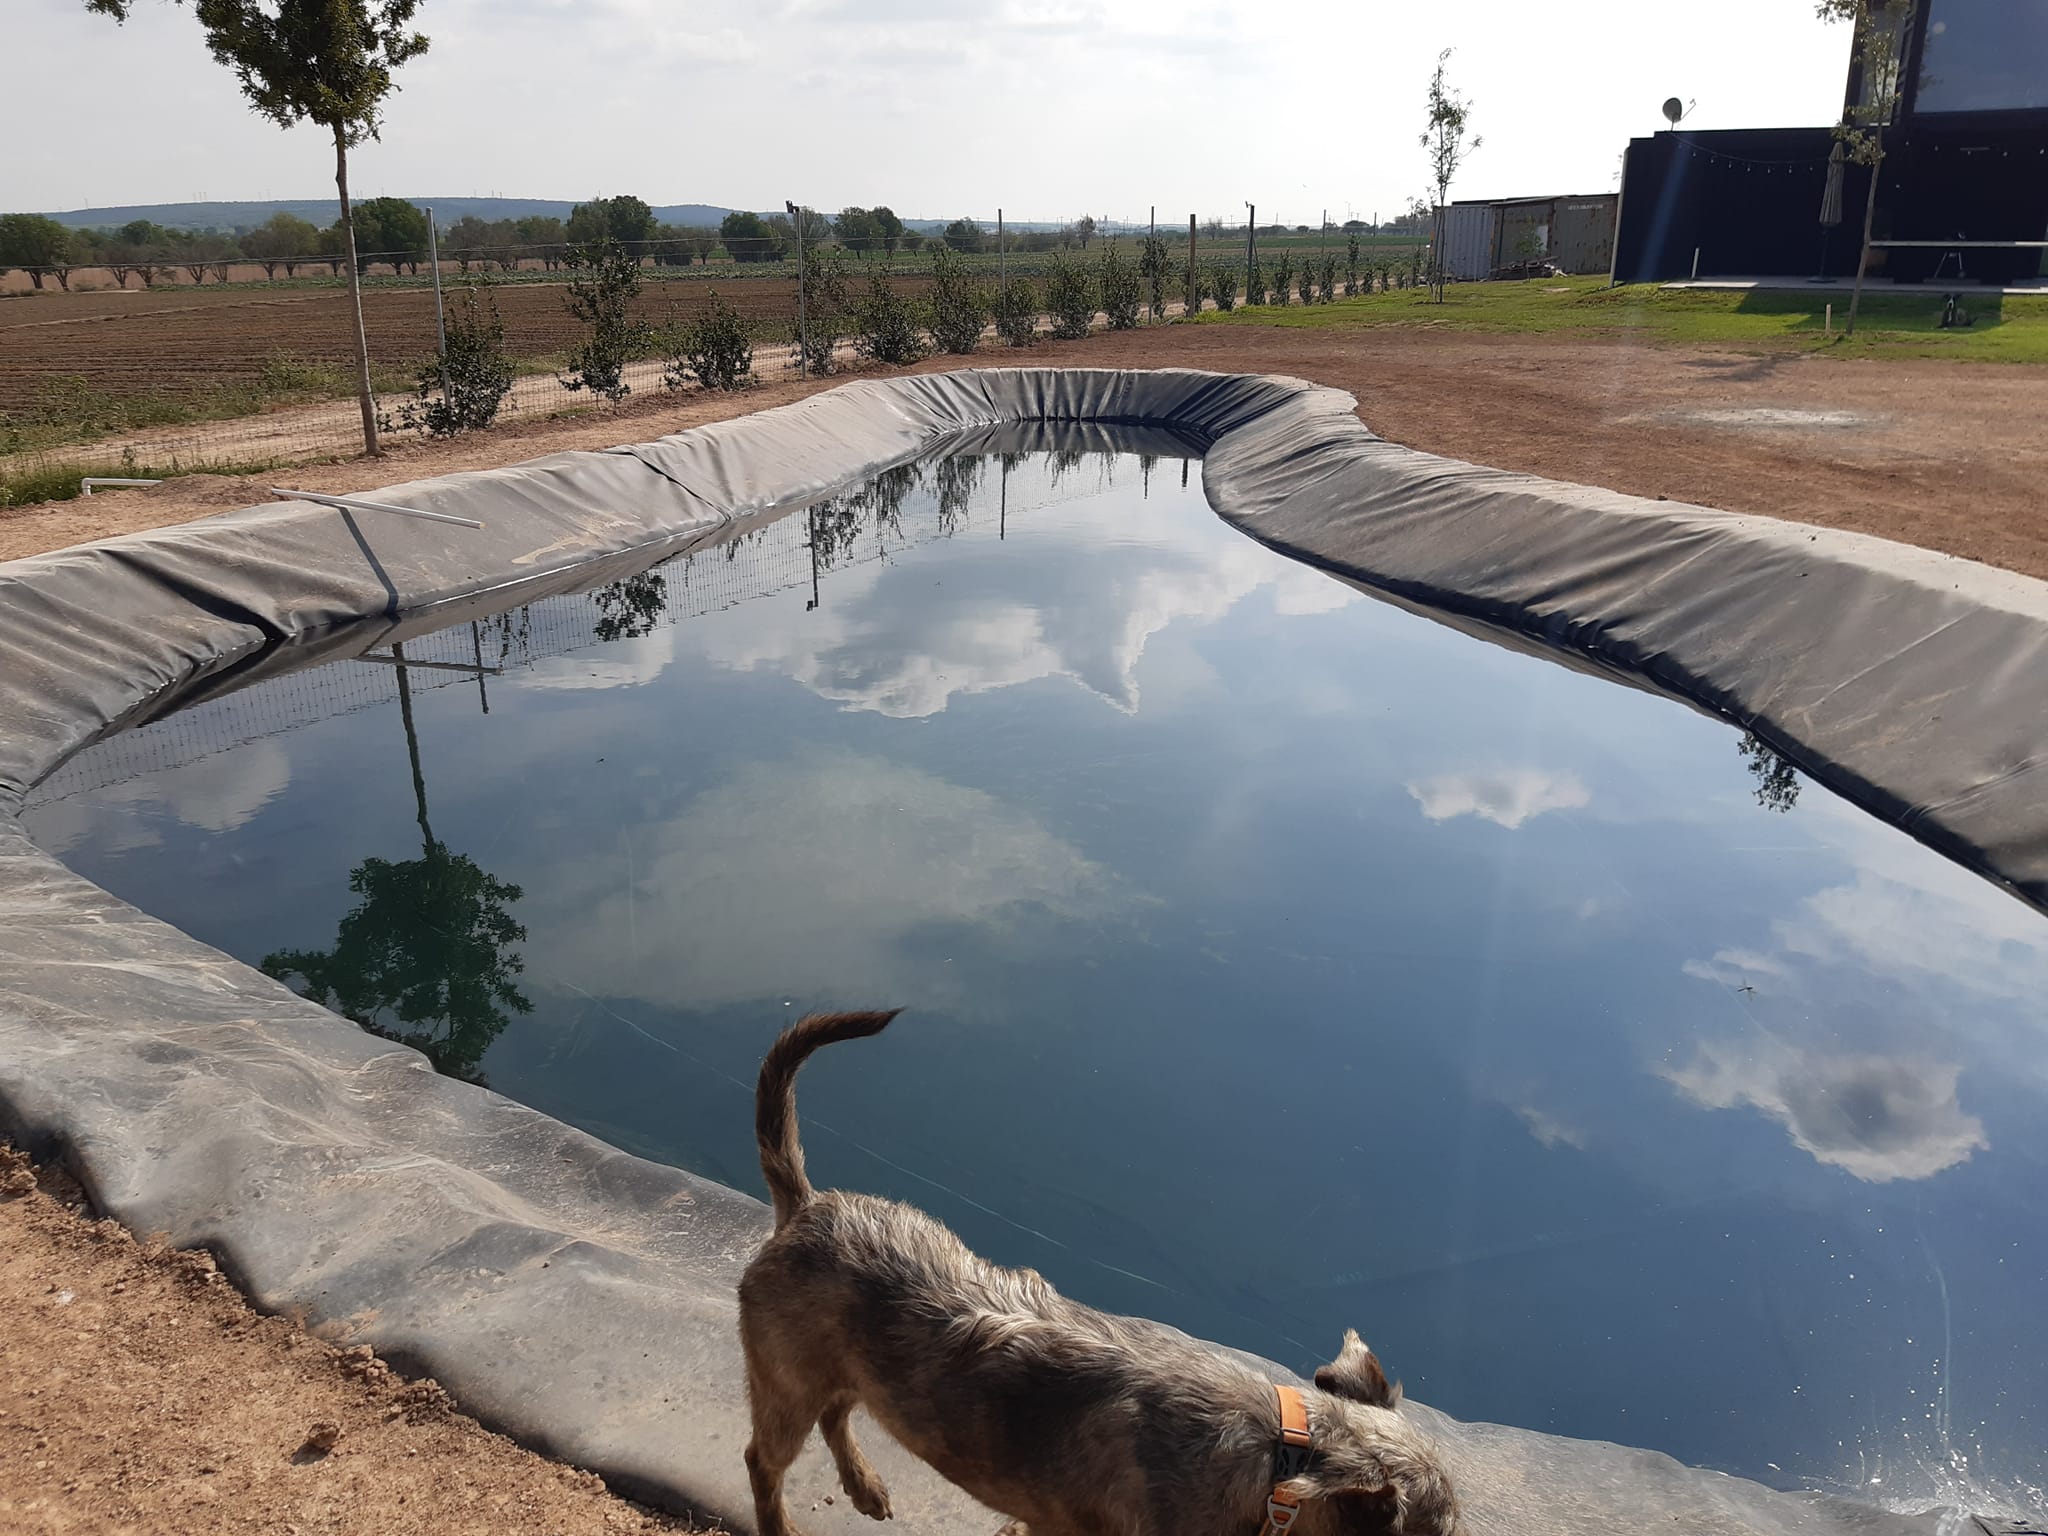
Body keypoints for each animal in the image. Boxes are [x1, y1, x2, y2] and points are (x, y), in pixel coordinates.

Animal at [737, 1011, 1460, 1536]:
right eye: (1445, 1534)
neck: (1283, 1461)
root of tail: (805, 1204)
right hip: (786, 1383)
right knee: (765, 1460)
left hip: (839, 1371)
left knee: (838, 1414)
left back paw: (864, 1484)